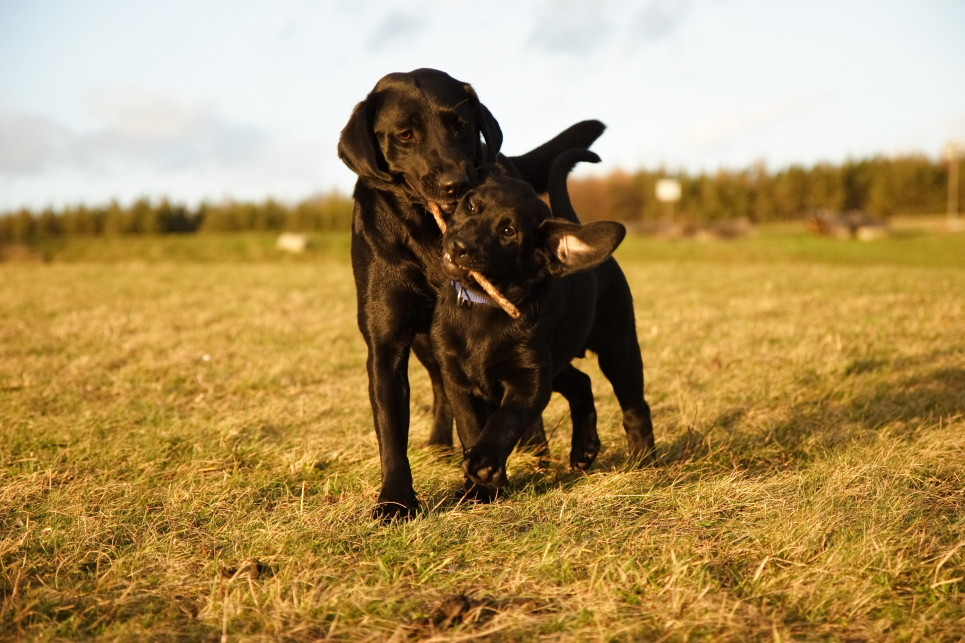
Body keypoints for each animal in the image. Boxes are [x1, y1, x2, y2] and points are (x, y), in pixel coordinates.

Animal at [338, 69, 604, 524]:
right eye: (405, 134)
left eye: (460, 124)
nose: (455, 183)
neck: (429, 235)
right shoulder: (386, 343)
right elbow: (391, 429)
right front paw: (395, 501)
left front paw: (486, 478)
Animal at [434, 151, 656, 494]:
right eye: (470, 205)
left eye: (508, 232)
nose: (459, 246)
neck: (485, 307)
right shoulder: (456, 378)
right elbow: (470, 427)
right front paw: (480, 489)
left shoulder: (530, 380)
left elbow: (505, 419)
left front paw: (484, 462)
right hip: (558, 359)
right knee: (582, 382)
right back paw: (584, 448)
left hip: (618, 349)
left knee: (635, 406)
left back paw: (645, 459)